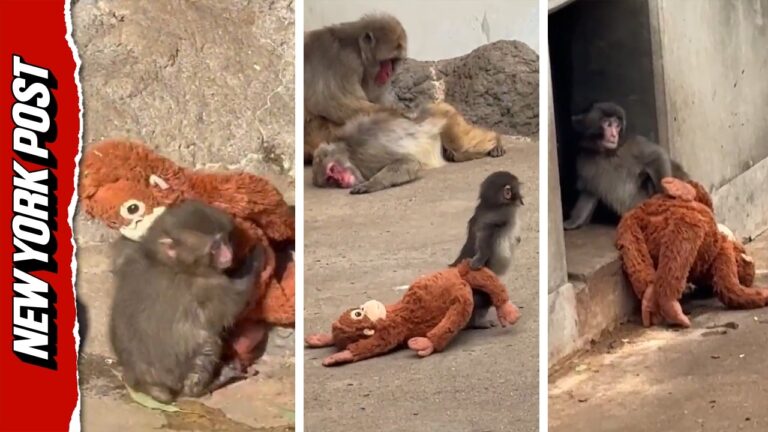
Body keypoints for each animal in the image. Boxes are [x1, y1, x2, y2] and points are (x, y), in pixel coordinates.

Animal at [109, 200, 264, 403]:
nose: (228, 255)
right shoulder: (206, 285)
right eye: (215, 247)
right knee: (208, 343)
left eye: (225, 239)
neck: (167, 262)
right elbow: (234, 304)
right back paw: (208, 384)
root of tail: (148, 384)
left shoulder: (129, 255)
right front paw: (256, 258)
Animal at [450, 171, 524, 329]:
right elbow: (485, 232)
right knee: (485, 298)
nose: (521, 197)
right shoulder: (502, 214)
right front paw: (478, 261)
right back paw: (478, 323)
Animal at [563, 101, 689, 230]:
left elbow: (657, 156)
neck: (607, 153)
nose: (614, 135)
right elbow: (589, 191)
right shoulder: (585, 159)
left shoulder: (631, 144)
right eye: (608, 124)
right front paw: (574, 221)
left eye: (617, 125)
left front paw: (665, 198)